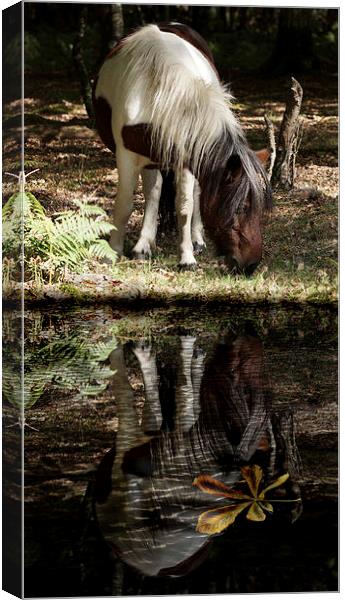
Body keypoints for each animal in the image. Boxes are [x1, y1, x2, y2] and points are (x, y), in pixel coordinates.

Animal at [92, 23, 270, 274]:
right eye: (241, 208)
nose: (251, 265)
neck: (155, 90)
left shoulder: (187, 158)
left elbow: (185, 207)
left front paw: (186, 258)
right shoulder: (126, 155)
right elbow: (125, 204)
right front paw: (114, 251)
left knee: (193, 193)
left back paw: (196, 241)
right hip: (150, 158)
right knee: (153, 192)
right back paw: (143, 246)